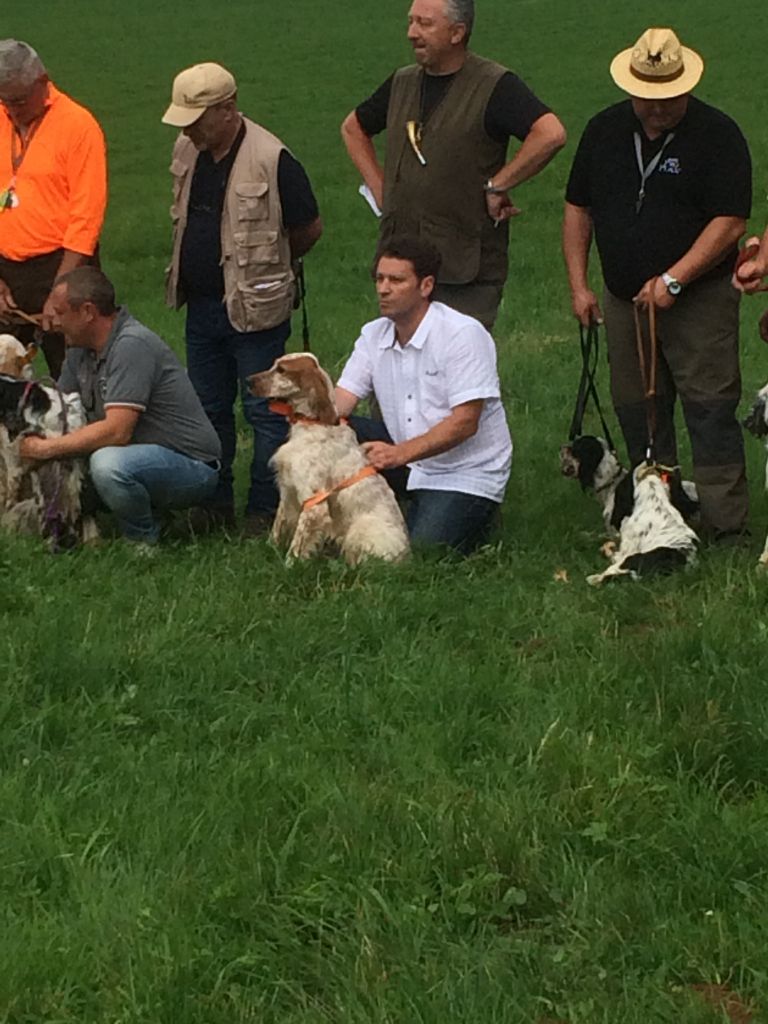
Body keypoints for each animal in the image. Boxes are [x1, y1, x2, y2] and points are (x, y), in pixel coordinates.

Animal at [249, 354, 411, 569]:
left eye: (281, 370)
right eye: (274, 365)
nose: (248, 381)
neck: (312, 423)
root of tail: (408, 558)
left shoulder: (314, 503)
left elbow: (296, 546)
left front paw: (288, 567)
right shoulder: (288, 490)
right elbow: (278, 526)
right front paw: (268, 549)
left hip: (360, 529)